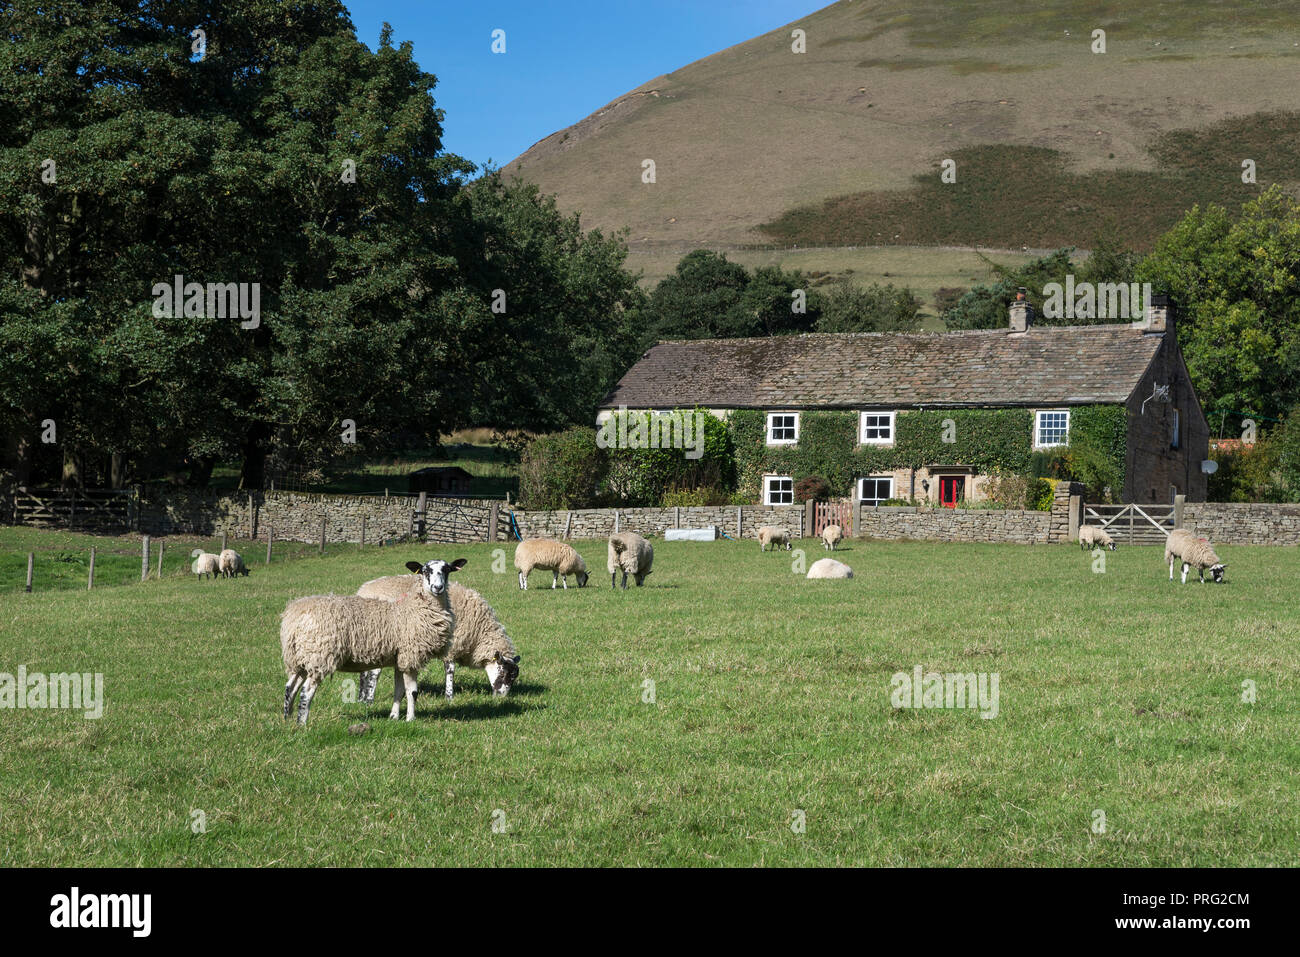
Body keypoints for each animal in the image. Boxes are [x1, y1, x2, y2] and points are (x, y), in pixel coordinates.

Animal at [280, 558, 464, 724]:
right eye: (425, 571)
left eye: (447, 570)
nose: (437, 588)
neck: (414, 609)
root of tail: (294, 615)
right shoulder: (411, 656)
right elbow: (412, 692)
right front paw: (410, 719)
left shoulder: (400, 659)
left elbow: (399, 691)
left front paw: (394, 717)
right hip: (320, 655)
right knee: (306, 690)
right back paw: (302, 723)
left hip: (300, 657)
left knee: (290, 686)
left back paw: (287, 720)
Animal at [355, 577, 521, 700]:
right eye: (503, 673)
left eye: (513, 678)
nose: (502, 697)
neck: (479, 633)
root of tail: (362, 591)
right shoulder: (453, 646)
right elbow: (450, 670)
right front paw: (449, 696)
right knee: (374, 672)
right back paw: (369, 699)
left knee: (363, 671)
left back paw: (361, 698)